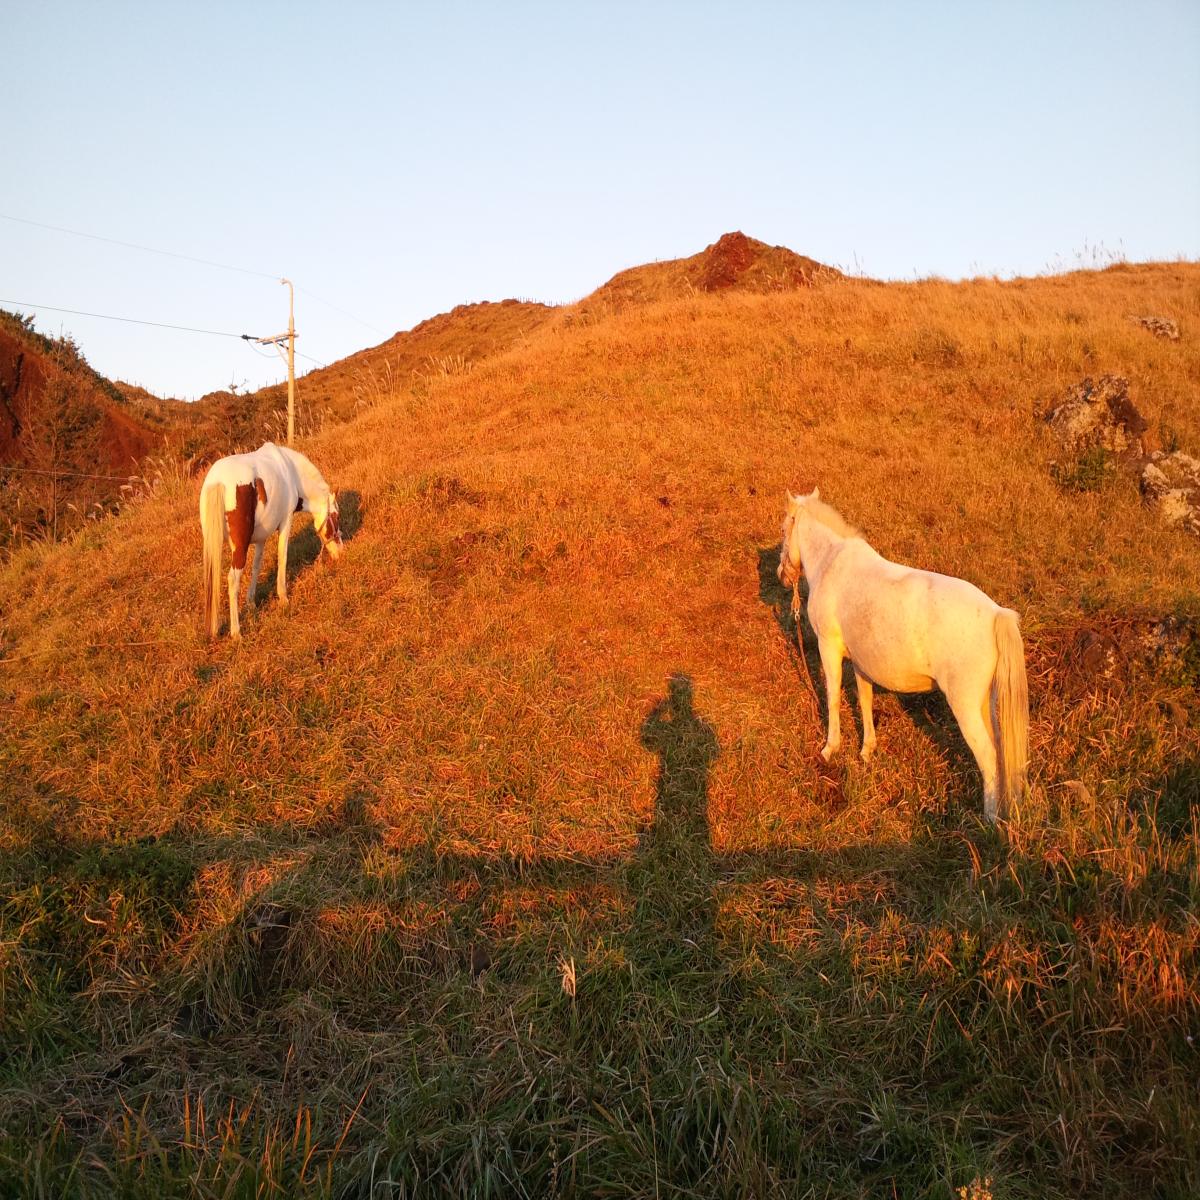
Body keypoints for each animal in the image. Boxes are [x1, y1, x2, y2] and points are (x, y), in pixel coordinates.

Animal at [199, 441, 343, 643]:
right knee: (232, 580)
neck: (291, 472)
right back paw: (236, 633)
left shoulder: (261, 538)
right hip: (239, 548)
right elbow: (282, 557)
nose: (341, 552)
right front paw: (283, 599)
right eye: (336, 517)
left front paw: (251, 603)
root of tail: (218, 481)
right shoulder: (286, 522)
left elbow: (256, 566)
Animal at [782, 482, 1027, 820]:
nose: (781, 574)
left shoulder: (828, 648)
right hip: (984, 702)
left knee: (988, 756)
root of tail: (995, 614)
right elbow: (865, 699)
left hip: (964, 705)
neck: (832, 563)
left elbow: (832, 698)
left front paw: (830, 749)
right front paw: (867, 750)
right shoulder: (861, 661)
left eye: (784, 528)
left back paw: (989, 820)